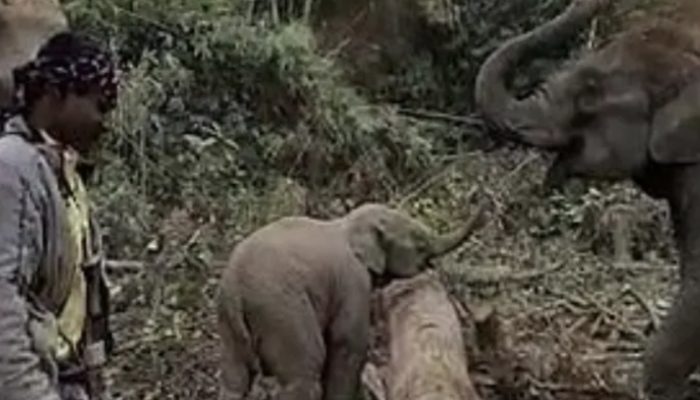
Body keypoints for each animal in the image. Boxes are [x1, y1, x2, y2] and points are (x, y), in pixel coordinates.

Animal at [216, 202, 485, 400]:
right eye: (420, 244)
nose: (481, 200)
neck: (349, 224)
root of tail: (235, 289)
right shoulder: (352, 281)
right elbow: (349, 341)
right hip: (281, 310)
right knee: (304, 371)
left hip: (230, 323)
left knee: (235, 380)